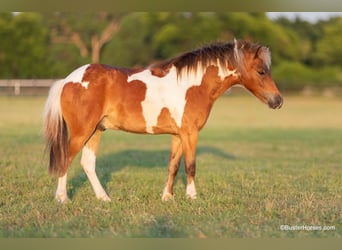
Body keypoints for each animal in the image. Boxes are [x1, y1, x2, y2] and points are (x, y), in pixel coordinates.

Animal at [42, 39, 284, 203]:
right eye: (261, 71)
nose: (278, 100)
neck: (193, 85)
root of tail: (68, 80)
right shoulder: (190, 133)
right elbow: (190, 166)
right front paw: (192, 196)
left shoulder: (178, 135)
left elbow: (173, 166)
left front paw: (167, 196)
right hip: (82, 131)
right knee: (66, 159)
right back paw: (62, 198)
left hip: (96, 130)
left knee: (87, 163)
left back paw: (104, 198)